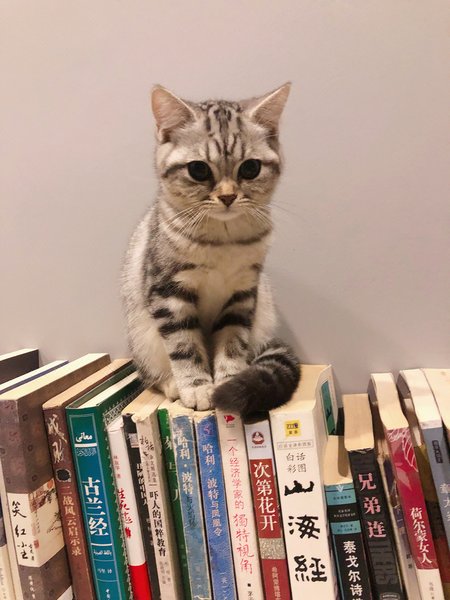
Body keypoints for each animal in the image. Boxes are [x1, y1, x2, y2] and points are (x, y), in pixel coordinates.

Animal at [121, 83, 300, 414]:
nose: (228, 196)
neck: (223, 242)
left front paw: (229, 380)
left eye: (251, 168)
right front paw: (196, 386)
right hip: (142, 335)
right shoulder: (168, 294)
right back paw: (172, 385)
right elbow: (184, 346)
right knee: (150, 373)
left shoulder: (242, 295)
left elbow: (232, 343)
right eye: (199, 170)